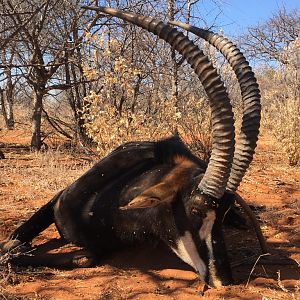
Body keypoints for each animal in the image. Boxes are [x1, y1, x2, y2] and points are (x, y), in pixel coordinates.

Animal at [0, 7, 262, 288]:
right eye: (196, 209)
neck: (105, 202)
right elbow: (10, 245)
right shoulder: (55, 201)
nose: (224, 280)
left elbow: (83, 257)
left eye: (222, 212)